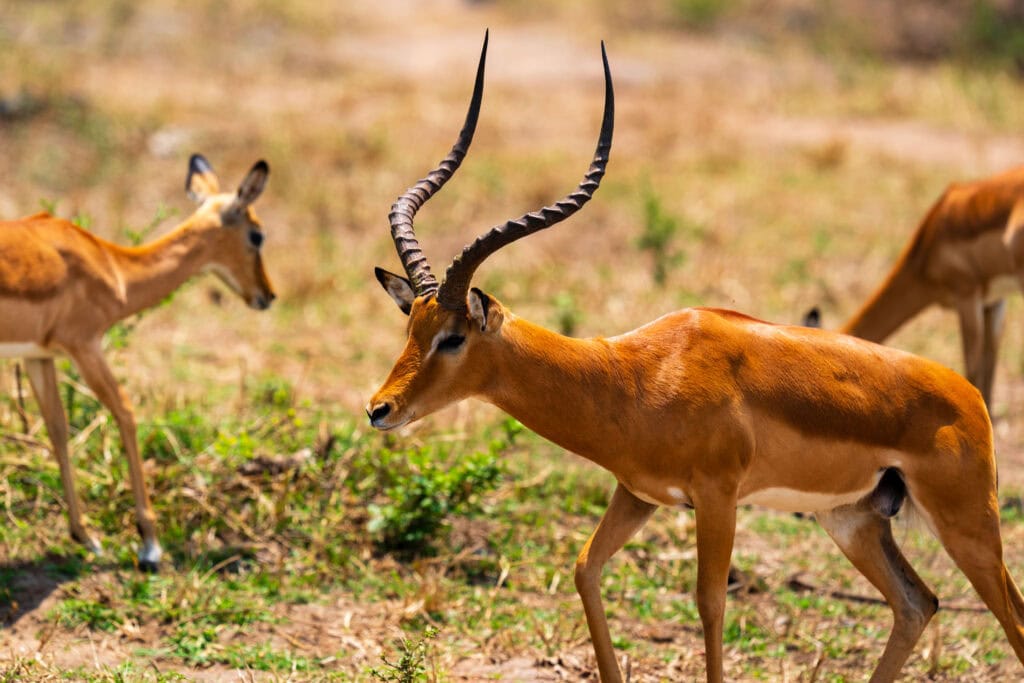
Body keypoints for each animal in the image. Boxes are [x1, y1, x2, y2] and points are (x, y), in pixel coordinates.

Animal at [0, 155, 274, 571]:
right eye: (257, 235)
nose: (267, 295)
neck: (113, 267)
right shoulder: (85, 346)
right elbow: (127, 413)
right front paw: (150, 545)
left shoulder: (39, 355)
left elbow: (58, 430)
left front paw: (85, 536)